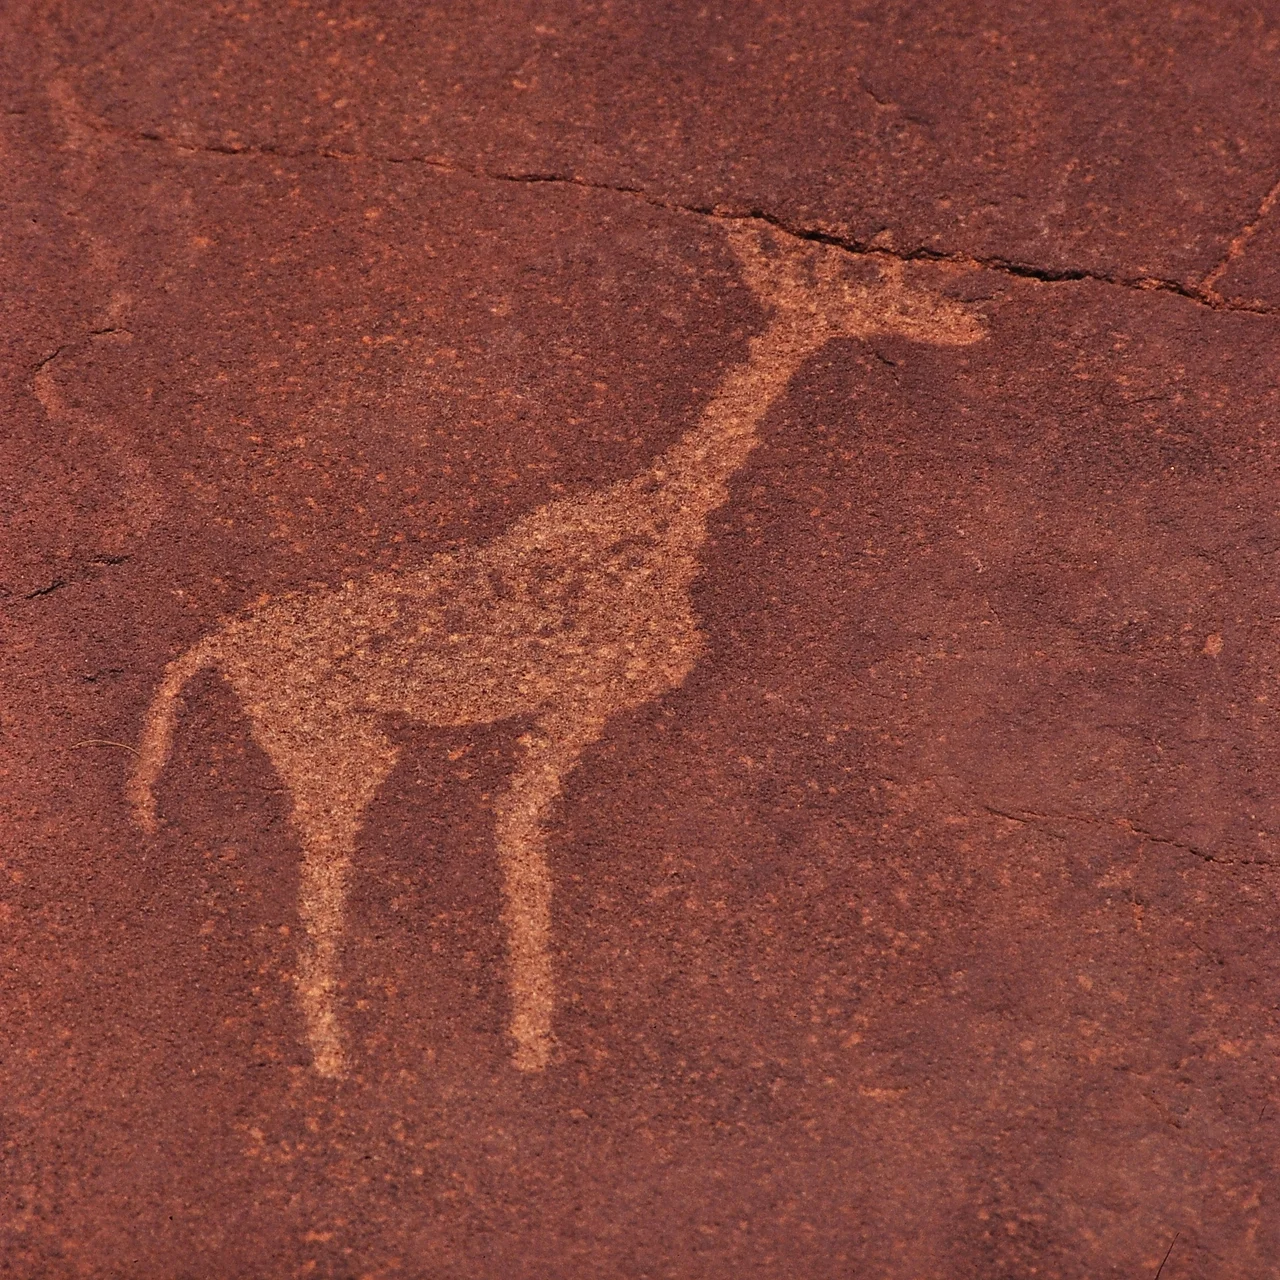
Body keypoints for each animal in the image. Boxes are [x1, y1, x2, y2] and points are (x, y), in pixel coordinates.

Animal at [129, 225, 984, 1078]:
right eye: (879, 291)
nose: (972, 325)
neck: (664, 521)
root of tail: (216, 643)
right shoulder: (583, 695)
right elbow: (520, 821)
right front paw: (532, 1041)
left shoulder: (573, 705)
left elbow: (515, 821)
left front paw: (523, 1037)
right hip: (330, 743)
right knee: (320, 869)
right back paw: (332, 1056)